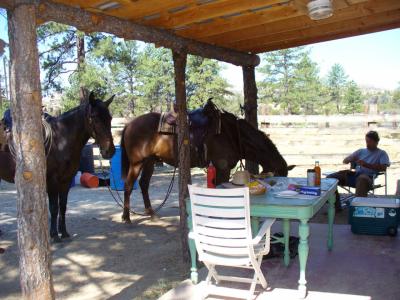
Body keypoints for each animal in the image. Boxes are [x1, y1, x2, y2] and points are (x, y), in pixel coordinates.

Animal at [0, 92, 115, 243]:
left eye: (110, 118)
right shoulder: (52, 181)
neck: (60, 140)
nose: (110, 151)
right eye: (94, 118)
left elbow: (63, 206)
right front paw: (54, 235)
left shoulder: (66, 180)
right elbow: (54, 208)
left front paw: (64, 232)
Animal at [120, 100, 292, 223]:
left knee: (143, 184)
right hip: (137, 163)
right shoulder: (222, 167)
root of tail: (129, 124)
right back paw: (126, 217)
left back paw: (151, 213)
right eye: (280, 175)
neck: (232, 134)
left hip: (150, 162)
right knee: (128, 185)